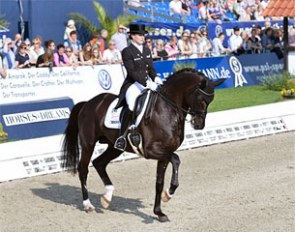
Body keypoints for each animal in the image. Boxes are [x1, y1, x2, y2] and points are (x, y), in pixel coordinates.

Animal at [62, 68, 224, 222]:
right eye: (201, 99)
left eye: (210, 101)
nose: (199, 125)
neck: (166, 109)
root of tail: (88, 103)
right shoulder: (152, 150)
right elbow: (177, 159)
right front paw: (169, 193)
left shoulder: (164, 154)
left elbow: (159, 183)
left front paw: (159, 212)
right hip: (88, 144)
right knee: (83, 169)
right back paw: (88, 205)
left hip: (114, 147)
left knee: (99, 163)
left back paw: (107, 197)